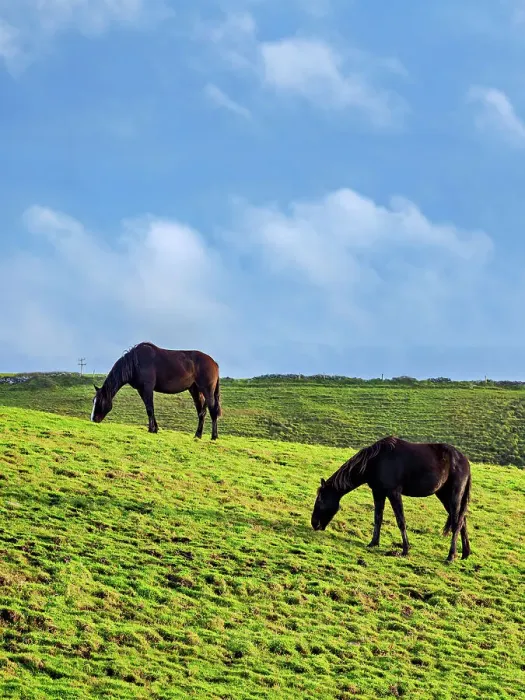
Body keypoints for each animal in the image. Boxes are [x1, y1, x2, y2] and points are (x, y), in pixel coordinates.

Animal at [90, 342, 222, 439]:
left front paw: (151, 429)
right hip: (195, 390)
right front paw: (155, 428)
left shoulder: (148, 388)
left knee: (212, 410)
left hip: (207, 391)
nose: (93, 419)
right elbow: (149, 407)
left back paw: (214, 436)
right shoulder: (141, 390)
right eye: (93, 401)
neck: (135, 363)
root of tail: (214, 363)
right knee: (201, 412)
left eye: (100, 401)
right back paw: (198, 435)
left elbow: (150, 409)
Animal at [311, 436, 471, 563]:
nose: (314, 524)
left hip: (454, 496)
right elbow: (378, 518)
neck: (375, 461)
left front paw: (405, 550)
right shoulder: (378, 492)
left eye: (320, 500)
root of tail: (465, 461)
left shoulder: (394, 493)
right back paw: (465, 553)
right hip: (443, 495)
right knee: (462, 520)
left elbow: (401, 521)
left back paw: (450, 556)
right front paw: (373, 542)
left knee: (457, 522)